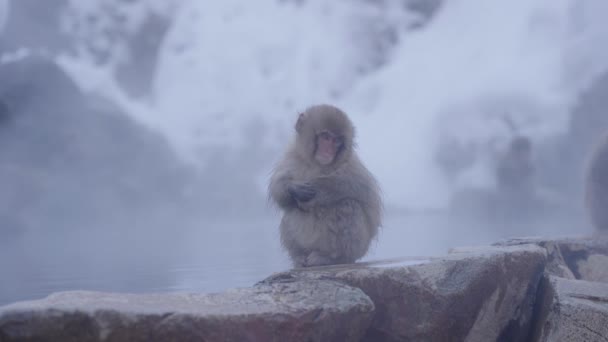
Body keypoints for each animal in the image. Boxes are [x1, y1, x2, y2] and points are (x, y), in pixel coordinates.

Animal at [270, 104, 382, 268]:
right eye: (326, 137)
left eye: (337, 141)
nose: (328, 151)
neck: (316, 165)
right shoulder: (292, 157)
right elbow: (278, 190)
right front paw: (293, 188)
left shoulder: (351, 166)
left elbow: (362, 193)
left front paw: (317, 191)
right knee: (289, 210)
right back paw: (299, 257)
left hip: (357, 248)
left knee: (348, 204)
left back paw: (333, 257)